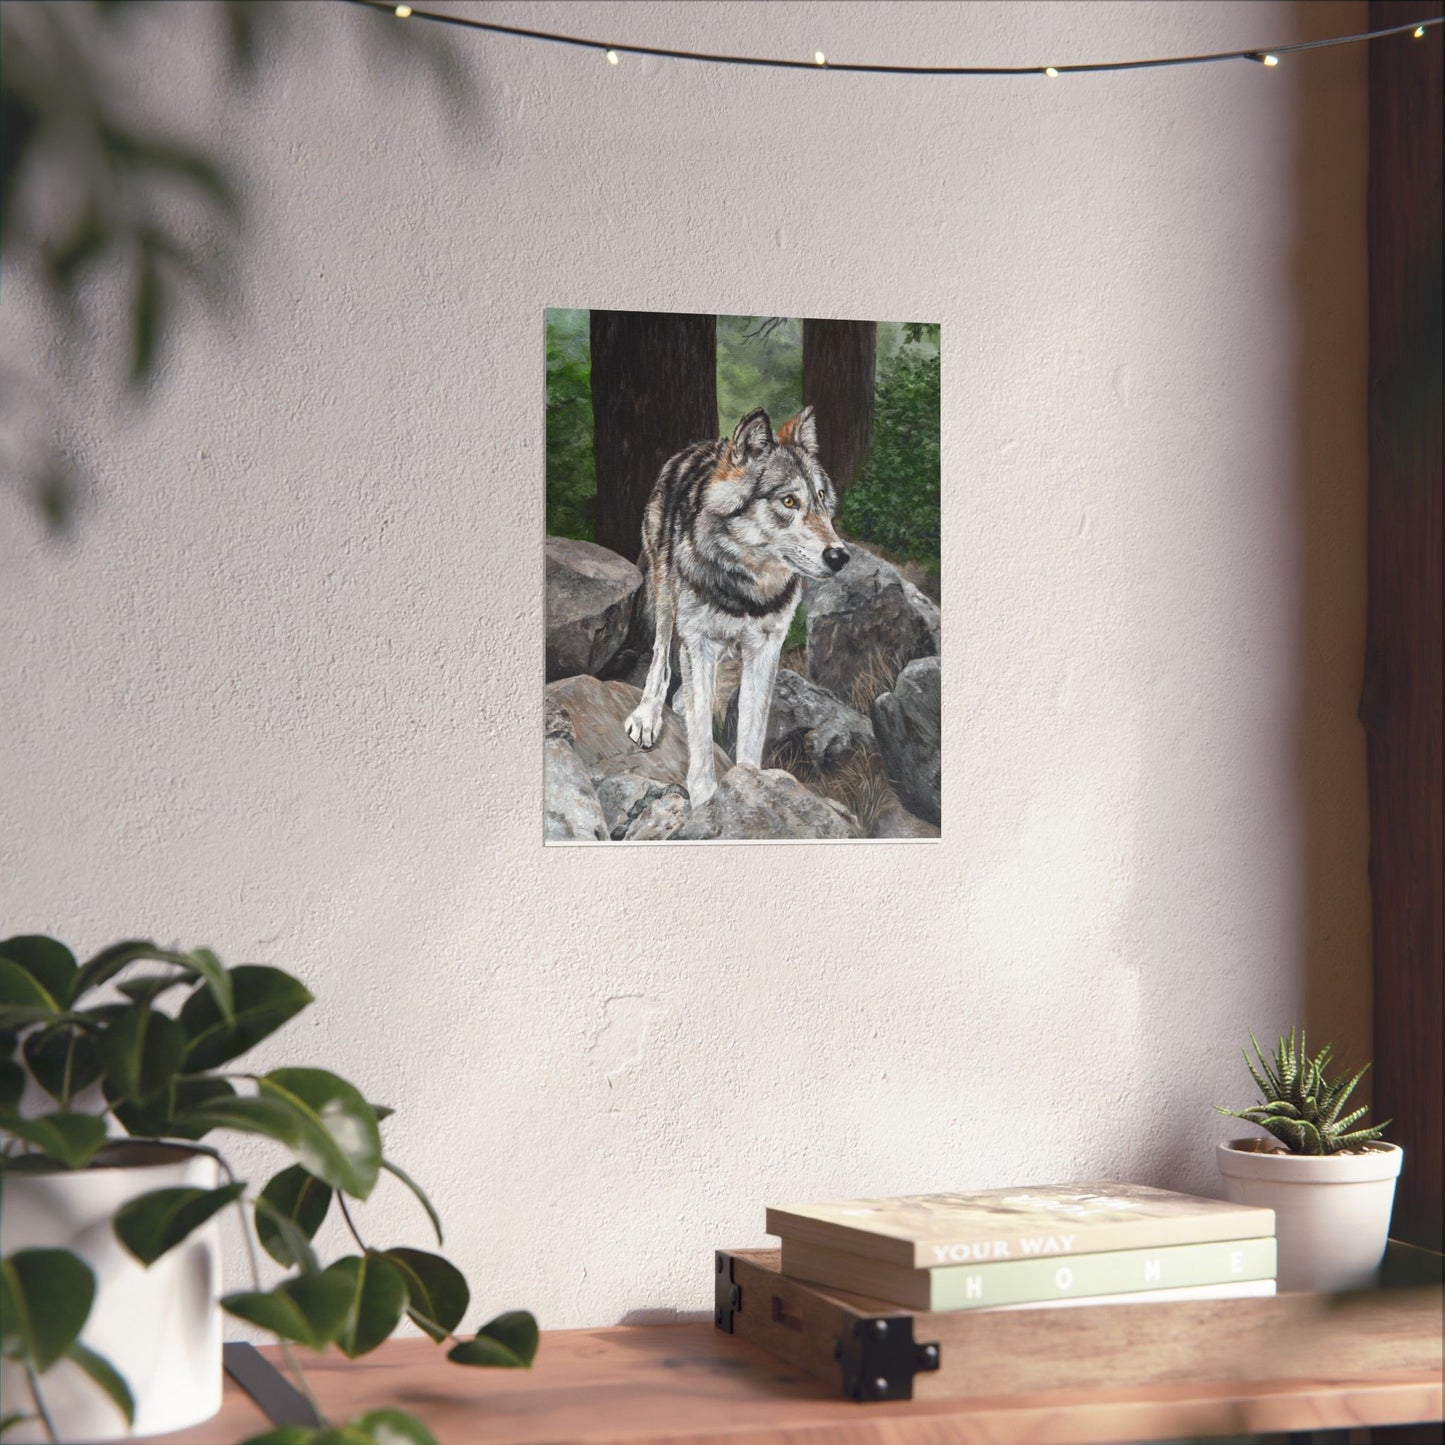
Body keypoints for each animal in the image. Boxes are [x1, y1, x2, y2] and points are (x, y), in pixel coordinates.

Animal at [624, 405, 850, 808]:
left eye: (822, 498)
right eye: (788, 502)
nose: (840, 556)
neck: (747, 588)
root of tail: (700, 446)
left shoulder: (766, 648)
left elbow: (751, 728)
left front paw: (750, 786)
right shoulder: (698, 640)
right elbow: (700, 730)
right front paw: (705, 799)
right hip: (664, 594)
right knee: (661, 656)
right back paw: (649, 714)